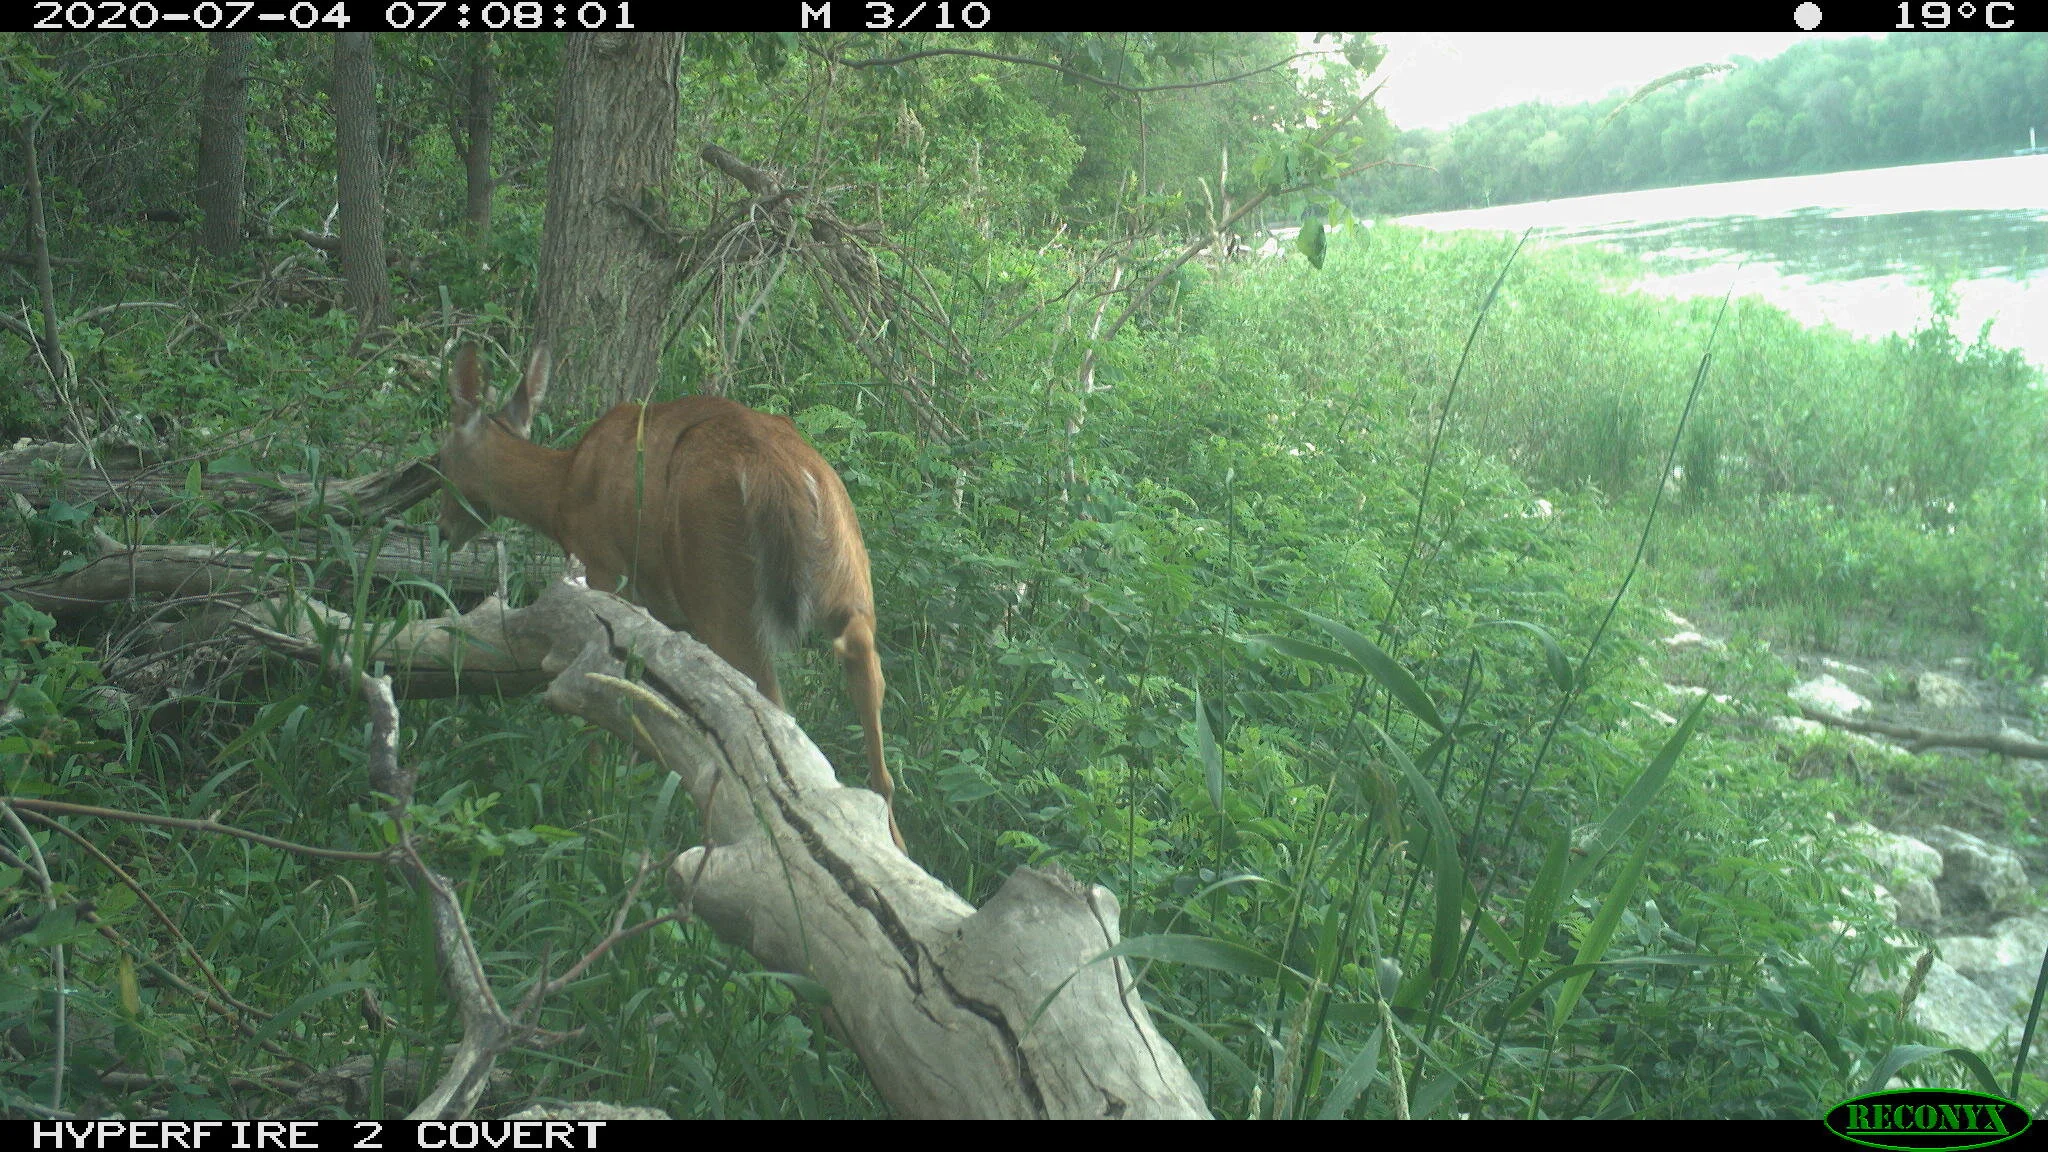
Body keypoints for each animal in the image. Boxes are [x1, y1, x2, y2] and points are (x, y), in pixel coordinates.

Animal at [436, 344, 900, 851]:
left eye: (439, 462)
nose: (442, 529)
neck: (561, 491)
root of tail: (784, 473)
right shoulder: (663, 611)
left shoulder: (604, 569)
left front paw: (599, 797)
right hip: (847, 568)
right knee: (863, 672)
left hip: (720, 582)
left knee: (768, 708)